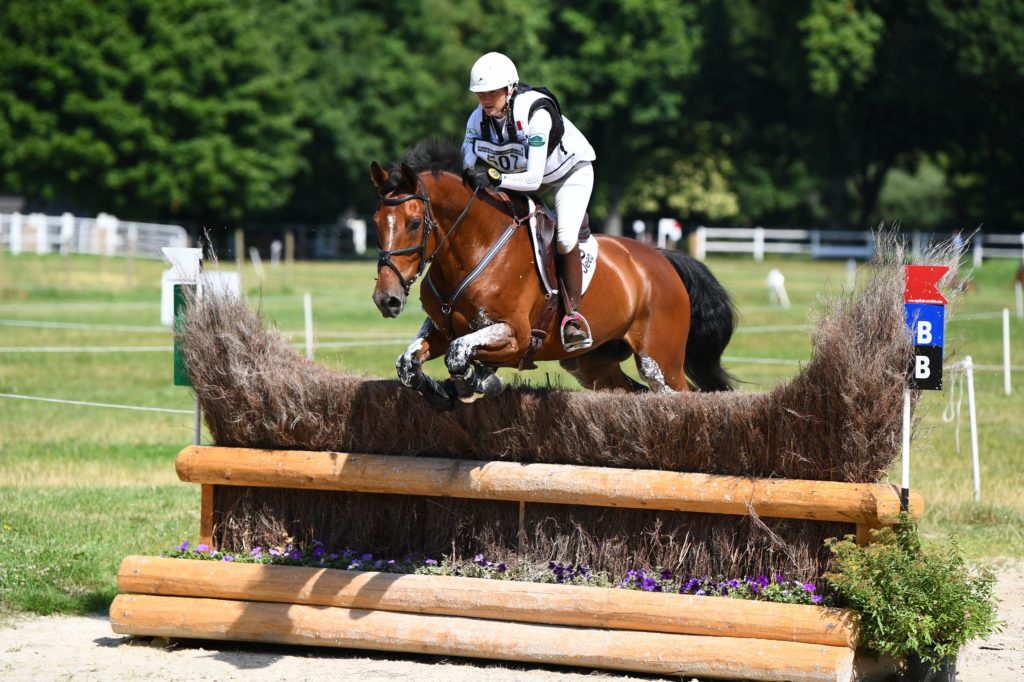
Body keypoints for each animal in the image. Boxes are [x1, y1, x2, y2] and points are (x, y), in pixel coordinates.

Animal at [368, 135, 737, 405]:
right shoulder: (442, 329)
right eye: (375, 222)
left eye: (414, 224)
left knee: (681, 391)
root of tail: (661, 260)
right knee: (630, 390)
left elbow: (459, 356)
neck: (473, 250)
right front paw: (442, 389)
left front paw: (482, 380)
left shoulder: (515, 335)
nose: (386, 299)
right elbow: (408, 364)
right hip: (591, 364)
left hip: (660, 361)